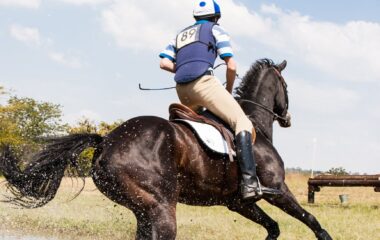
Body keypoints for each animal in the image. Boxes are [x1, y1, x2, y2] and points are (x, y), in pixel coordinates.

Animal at [0, 59, 332, 239]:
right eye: (286, 88)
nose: (287, 118)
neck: (253, 124)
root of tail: (106, 141)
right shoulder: (277, 190)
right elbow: (311, 220)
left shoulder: (238, 202)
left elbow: (273, 228)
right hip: (161, 206)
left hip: (143, 209)